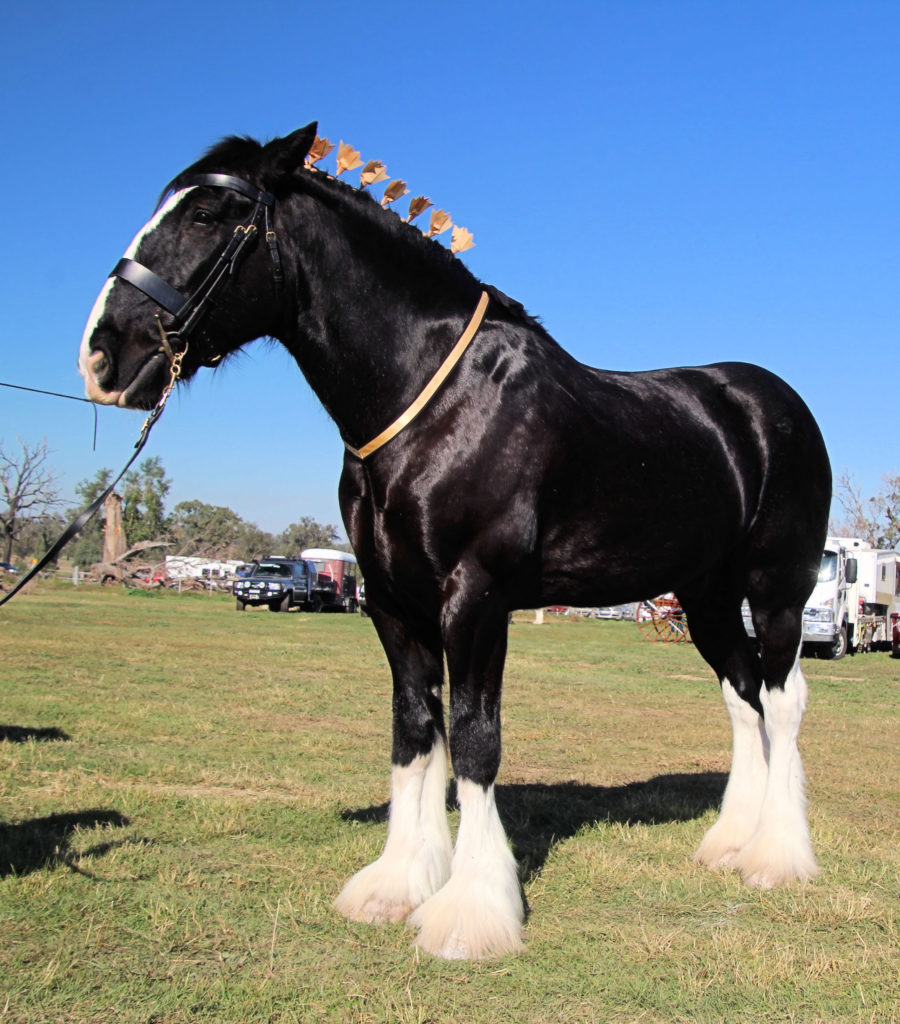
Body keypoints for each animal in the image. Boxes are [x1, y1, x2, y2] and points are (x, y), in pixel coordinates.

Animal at [80, 121, 835, 958]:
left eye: (210, 213)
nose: (103, 354)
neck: (434, 401)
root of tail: (768, 403)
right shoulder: (392, 602)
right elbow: (416, 733)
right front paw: (397, 882)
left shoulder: (474, 600)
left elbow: (475, 741)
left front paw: (473, 910)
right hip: (705, 596)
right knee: (743, 696)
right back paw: (731, 843)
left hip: (776, 591)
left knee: (783, 699)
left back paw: (776, 857)